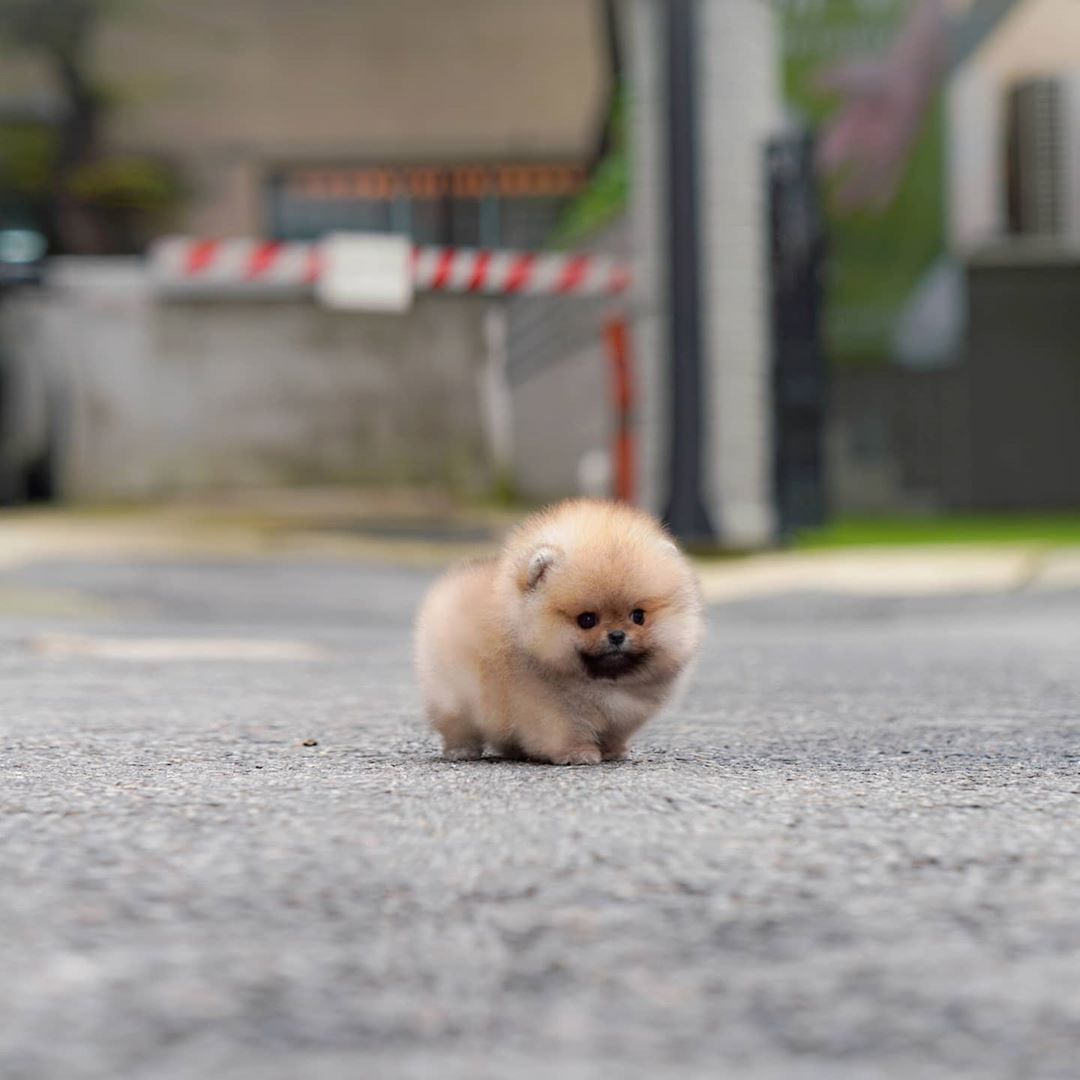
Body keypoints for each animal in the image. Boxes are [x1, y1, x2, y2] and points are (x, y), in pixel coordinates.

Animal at [410, 498, 699, 764]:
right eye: (587, 620)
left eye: (638, 616)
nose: (617, 635)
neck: (602, 683)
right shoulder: (552, 711)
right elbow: (567, 733)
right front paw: (579, 754)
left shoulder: (621, 718)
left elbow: (613, 734)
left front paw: (612, 752)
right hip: (452, 696)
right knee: (457, 725)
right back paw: (461, 751)